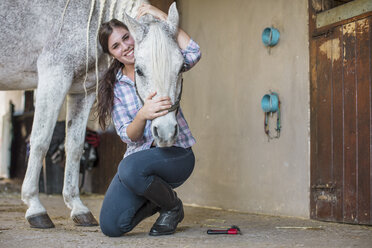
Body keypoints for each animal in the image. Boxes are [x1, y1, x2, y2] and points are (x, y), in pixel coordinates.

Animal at [0, 0, 183, 229]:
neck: (90, 17)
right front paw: (35, 208)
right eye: (139, 70)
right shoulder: (53, 75)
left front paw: (78, 208)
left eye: (182, 67)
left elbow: (75, 147)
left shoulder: (82, 92)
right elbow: (40, 142)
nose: (166, 132)